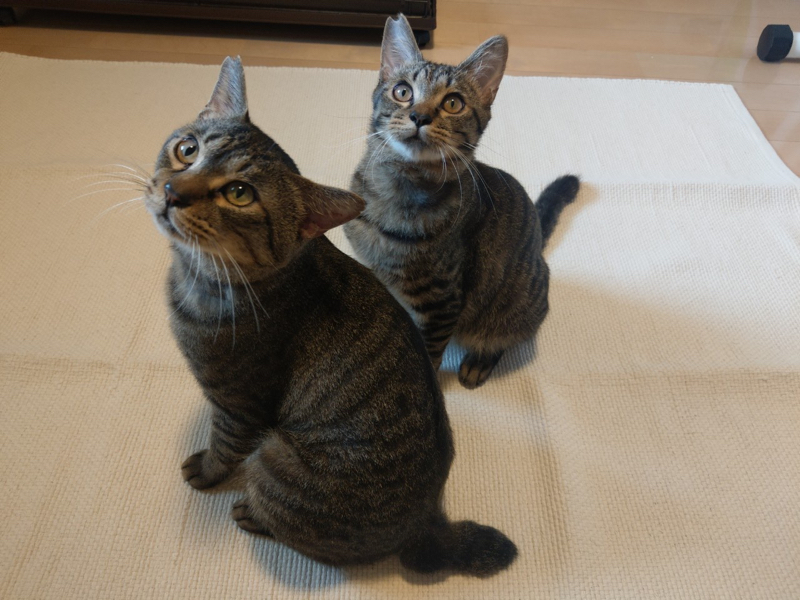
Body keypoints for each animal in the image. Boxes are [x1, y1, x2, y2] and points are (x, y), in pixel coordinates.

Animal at [143, 57, 517, 577]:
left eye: (238, 193)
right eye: (187, 149)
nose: (172, 190)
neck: (199, 278)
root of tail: (430, 523)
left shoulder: (240, 405)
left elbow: (223, 448)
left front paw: (206, 471)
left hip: (275, 458)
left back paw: (251, 513)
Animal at [344, 15, 580, 389]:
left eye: (453, 103)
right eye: (402, 91)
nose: (420, 116)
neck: (398, 189)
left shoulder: (442, 301)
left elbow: (430, 355)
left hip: (513, 307)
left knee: (504, 336)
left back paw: (477, 363)